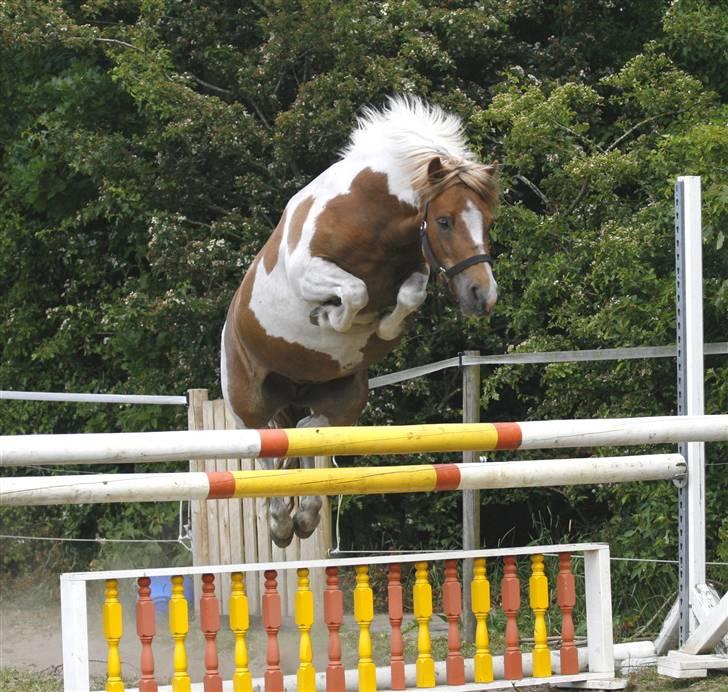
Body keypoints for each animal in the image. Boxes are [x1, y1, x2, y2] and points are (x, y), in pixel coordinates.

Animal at [219, 96, 498, 548]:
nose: (483, 295)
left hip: (348, 397)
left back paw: (306, 515)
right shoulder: (310, 271)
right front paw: (329, 316)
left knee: (313, 434)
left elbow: (406, 295)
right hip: (249, 402)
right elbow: (354, 292)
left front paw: (380, 328)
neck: (374, 221)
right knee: (270, 453)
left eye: (488, 223)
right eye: (444, 221)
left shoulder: (416, 270)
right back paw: (281, 524)